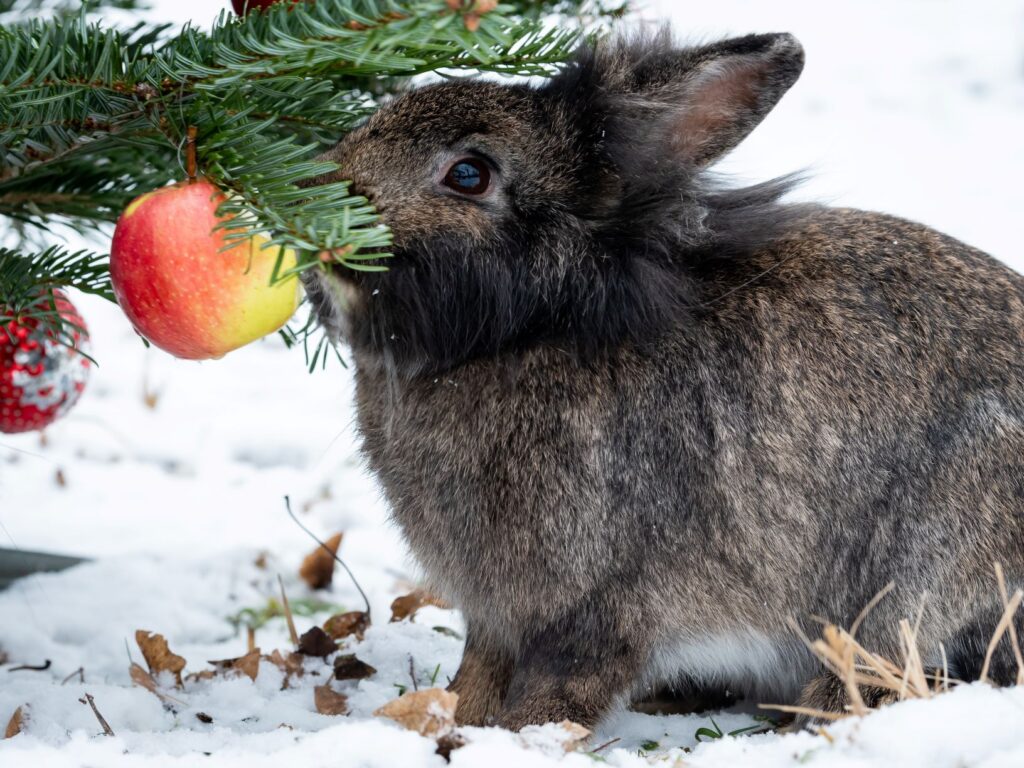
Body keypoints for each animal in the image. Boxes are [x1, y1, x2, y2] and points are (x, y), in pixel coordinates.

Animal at [299, 28, 1024, 729]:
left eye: (469, 174)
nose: (315, 214)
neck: (535, 327)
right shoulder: (498, 619)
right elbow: (477, 674)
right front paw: (447, 724)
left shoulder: (601, 606)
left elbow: (561, 688)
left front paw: (518, 737)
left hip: (930, 563)